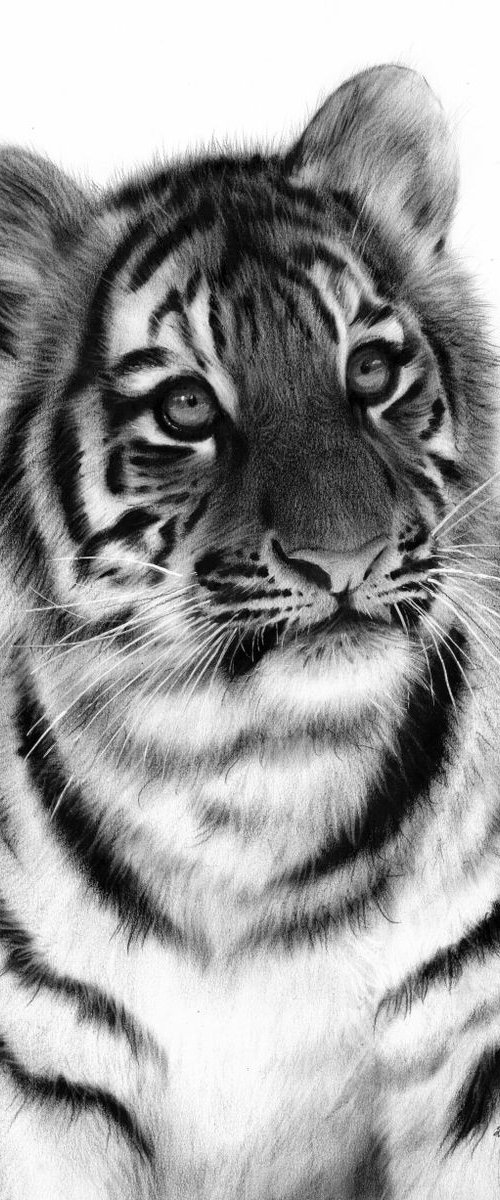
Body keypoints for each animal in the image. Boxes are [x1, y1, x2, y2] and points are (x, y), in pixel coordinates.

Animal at [0, 59, 499, 1199]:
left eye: (369, 373)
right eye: (187, 407)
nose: (346, 559)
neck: (250, 778)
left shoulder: (473, 1045)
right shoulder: (43, 1075)